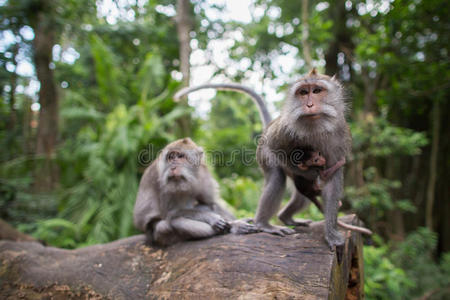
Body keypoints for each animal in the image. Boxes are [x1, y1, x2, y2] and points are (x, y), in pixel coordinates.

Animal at [176, 70, 356, 251]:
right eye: (303, 92)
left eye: (317, 91)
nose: (310, 104)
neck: (316, 125)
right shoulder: (284, 131)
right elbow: (277, 149)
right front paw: (312, 171)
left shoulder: (341, 135)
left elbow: (333, 180)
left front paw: (331, 234)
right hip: (263, 152)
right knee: (278, 177)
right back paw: (264, 224)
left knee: (301, 195)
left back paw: (286, 217)